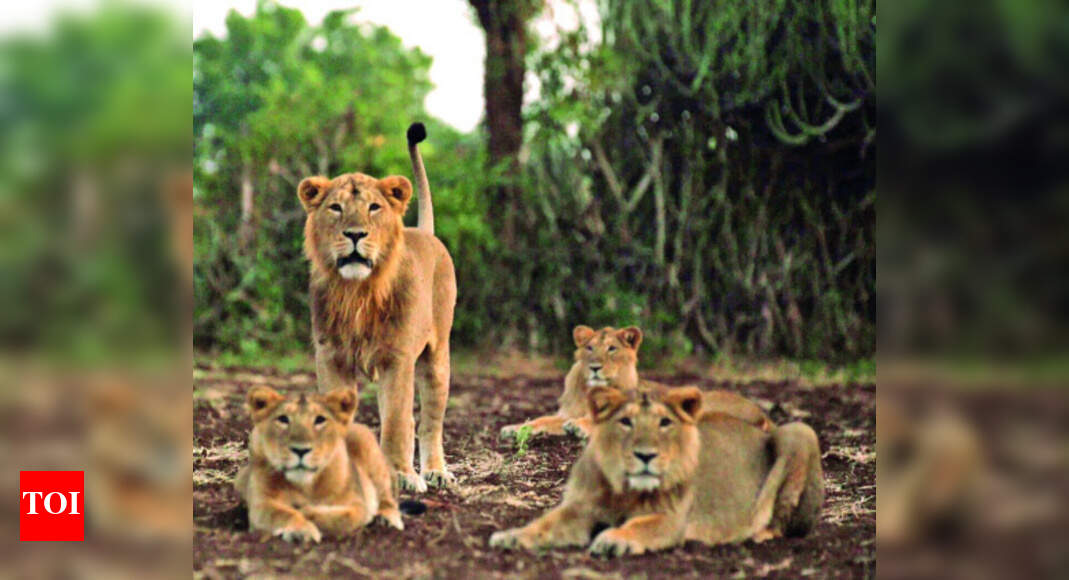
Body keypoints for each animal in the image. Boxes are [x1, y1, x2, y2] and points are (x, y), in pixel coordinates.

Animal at [234, 386, 406, 542]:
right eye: (283, 419)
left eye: (320, 419)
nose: (301, 450)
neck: (305, 485)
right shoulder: (261, 503)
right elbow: (283, 513)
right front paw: (301, 530)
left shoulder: (357, 505)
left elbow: (343, 518)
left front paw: (306, 511)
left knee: (387, 497)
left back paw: (386, 519)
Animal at [297, 123, 456, 493]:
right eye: (335, 208)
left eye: (373, 207)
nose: (355, 234)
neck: (357, 292)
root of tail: (425, 232)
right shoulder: (331, 356)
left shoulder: (397, 358)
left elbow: (397, 422)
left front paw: (401, 476)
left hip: (437, 357)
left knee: (428, 421)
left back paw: (435, 472)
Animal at [489, 384, 824, 556]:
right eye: (626, 422)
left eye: (665, 423)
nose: (645, 455)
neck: (623, 488)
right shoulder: (580, 507)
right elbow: (545, 523)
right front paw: (512, 536)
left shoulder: (671, 520)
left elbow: (640, 526)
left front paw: (614, 539)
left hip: (799, 431)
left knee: (782, 520)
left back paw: (751, 531)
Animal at [500, 325, 772, 441]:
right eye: (589, 348)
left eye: (611, 349)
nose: (595, 366)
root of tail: (762, 413)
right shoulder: (566, 412)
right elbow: (541, 420)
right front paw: (513, 429)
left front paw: (578, 428)